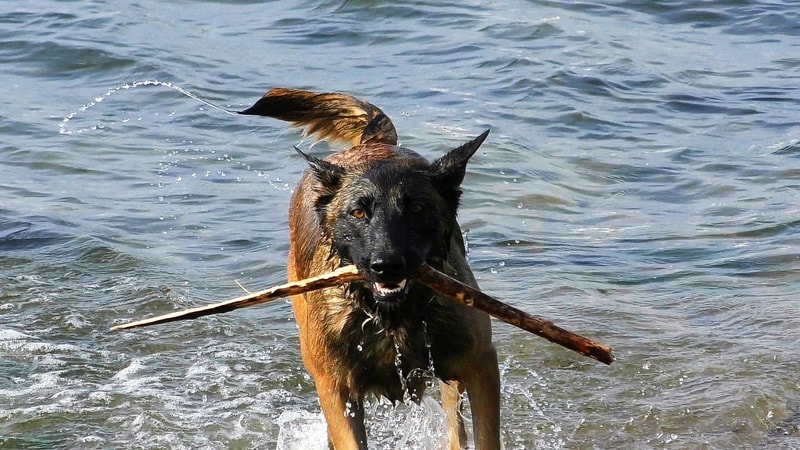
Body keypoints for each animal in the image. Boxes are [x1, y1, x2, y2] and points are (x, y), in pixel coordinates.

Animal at [241, 89, 500, 450]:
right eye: (359, 213)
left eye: (417, 209)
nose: (386, 265)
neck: (393, 319)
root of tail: (371, 144)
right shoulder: (338, 391)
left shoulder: (480, 366)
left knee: (455, 428)